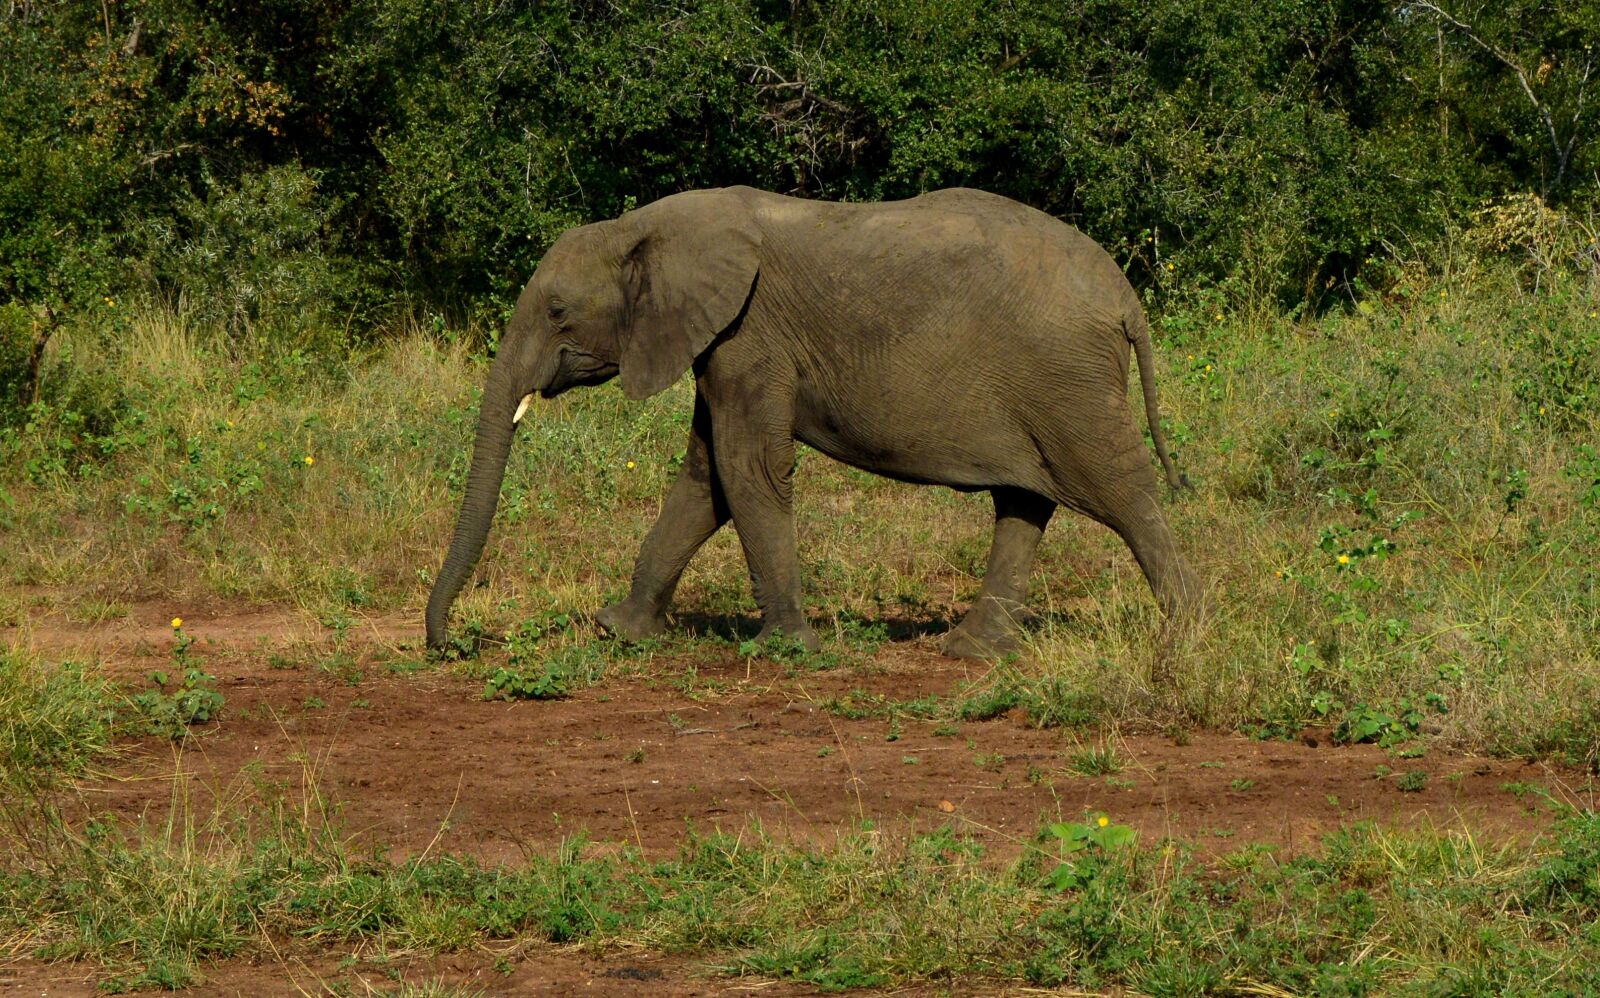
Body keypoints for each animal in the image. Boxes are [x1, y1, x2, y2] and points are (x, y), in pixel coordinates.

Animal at [425, 186, 1198, 659]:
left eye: (557, 310)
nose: (452, 644)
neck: (648, 226)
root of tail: (1125, 296)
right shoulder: (719, 341)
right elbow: (705, 478)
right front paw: (622, 632)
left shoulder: (751, 335)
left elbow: (748, 470)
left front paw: (787, 649)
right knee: (1024, 502)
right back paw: (971, 650)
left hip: (1068, 379)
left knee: (1123, 496)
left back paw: (1188, 631)